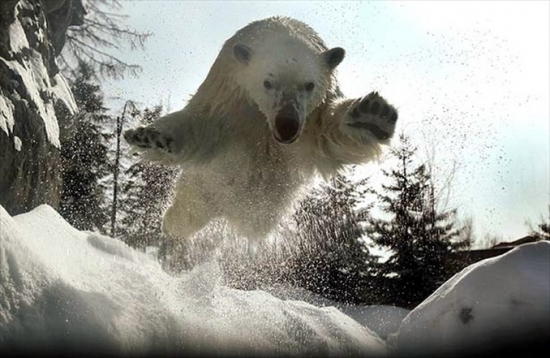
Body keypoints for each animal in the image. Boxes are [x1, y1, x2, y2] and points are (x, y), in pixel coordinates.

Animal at [125, 16, 398, 241]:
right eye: (268, 82)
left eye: (309, 85)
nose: (287, 126)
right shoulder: (228, 93)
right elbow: (203, 125)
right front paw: (148, 136)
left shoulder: (312, 116)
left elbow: (327, 136)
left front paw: (373, 116)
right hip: (203, 186)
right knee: (185, 213)